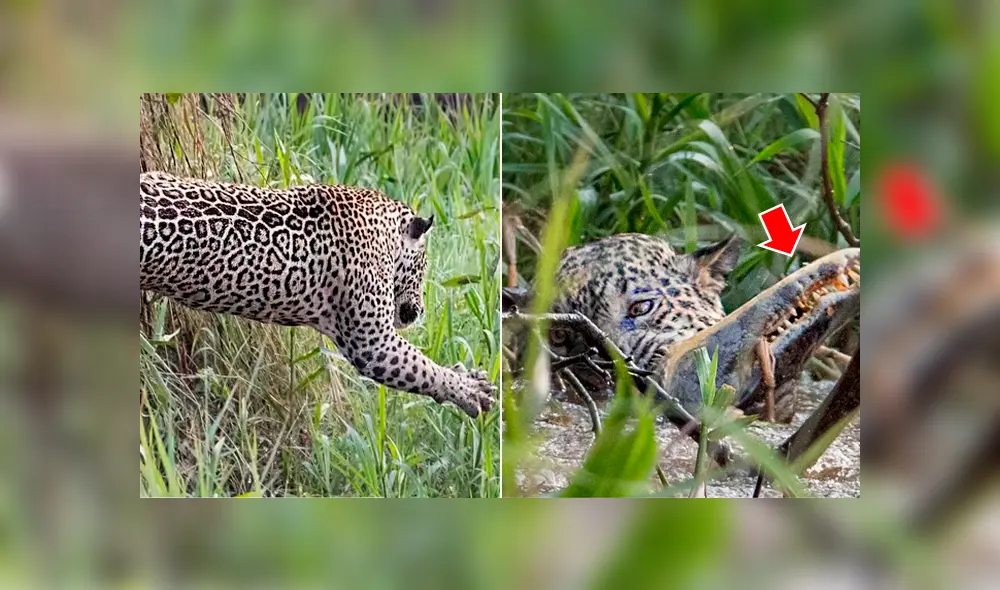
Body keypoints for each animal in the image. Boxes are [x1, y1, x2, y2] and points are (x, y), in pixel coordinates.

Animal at [140, 171, 495, 417]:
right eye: (423, 265)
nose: (419, 310)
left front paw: (466, 376)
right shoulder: (372, 342)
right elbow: (423, 367)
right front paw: (469, 390)